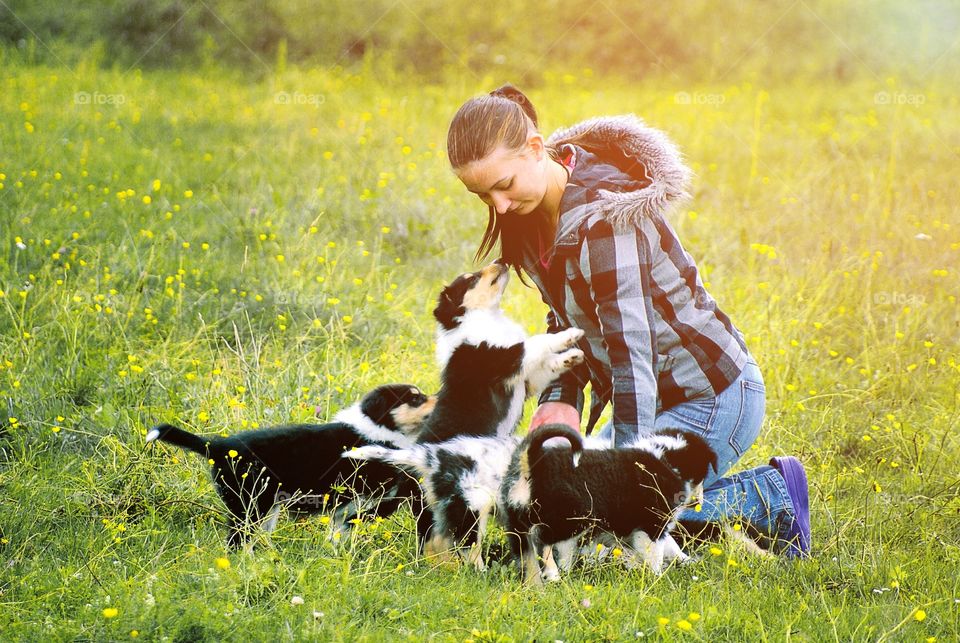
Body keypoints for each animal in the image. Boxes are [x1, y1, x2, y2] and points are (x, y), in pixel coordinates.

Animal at [498, 422, 716, 584]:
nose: (697, 502)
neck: (667, 457)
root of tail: (531, 461)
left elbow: (671, 545)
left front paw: (688, 562)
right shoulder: (652, 524)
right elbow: (655, 553)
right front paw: (657, 577)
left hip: (518, 521)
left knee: (527, 553)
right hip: (569, 518)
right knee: (545, 544)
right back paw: (555, 575)